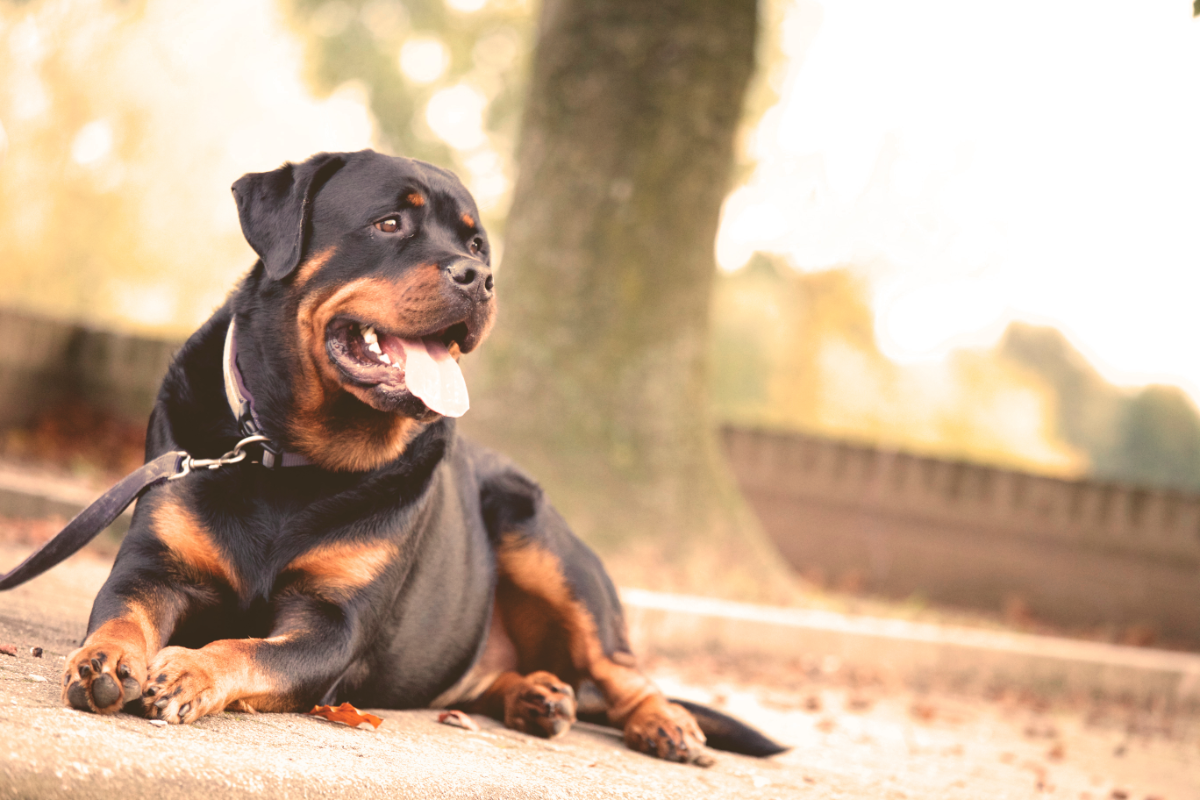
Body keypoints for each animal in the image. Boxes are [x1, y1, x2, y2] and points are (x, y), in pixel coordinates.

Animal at [60, 148, 782, 762]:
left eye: (476, 244)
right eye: (389, 223)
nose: (479, 276)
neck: (286, 454)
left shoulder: (333, 626)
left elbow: (246, 648)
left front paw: (189, 667)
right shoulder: (153, 567)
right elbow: (121, 612)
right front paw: (107, 662)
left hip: (540, 540)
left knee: (621, 668)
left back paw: (663, 723)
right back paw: (537, 694)